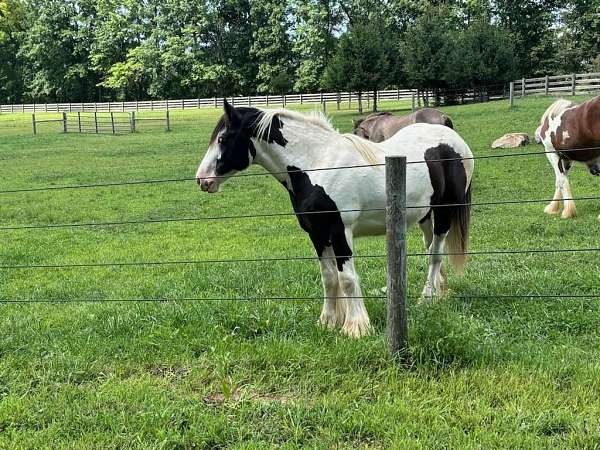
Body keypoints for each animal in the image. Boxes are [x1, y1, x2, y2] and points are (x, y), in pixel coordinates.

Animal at [197, 100, 474, 336]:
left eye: (222, 138)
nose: (202, 180)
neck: (317, 163)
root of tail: (453, 139)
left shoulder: (340, 231)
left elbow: (347, 279)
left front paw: (356, 328)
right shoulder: (317, 234)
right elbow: (329, 278)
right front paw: (328, 322)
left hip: (445, 211)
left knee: (435, 254)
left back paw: (425, 299)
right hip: (424, 215)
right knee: (431, 250)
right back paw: (438, 294)